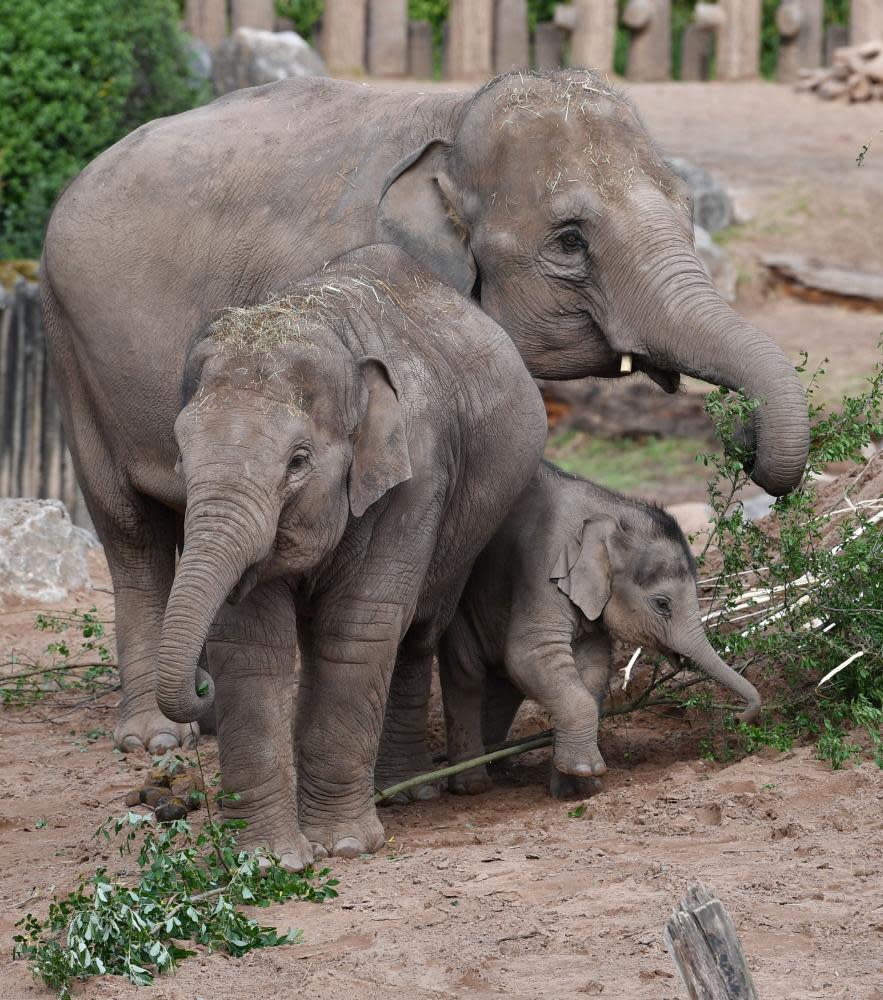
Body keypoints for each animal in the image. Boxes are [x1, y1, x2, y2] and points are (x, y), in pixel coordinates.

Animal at [43, 66, 808, 752]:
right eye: (569, 239)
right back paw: (155, 737)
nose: (742, 433)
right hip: (74, 354)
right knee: (129, 531)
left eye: (687, 212)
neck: (452, 115)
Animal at [156, 246, 548, 864]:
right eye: (180, 455)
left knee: (414, 633)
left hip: (468, 526)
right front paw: (268, 859)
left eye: (298, 460)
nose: (199, 687)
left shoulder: (417, 475)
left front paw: (341, 846)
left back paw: (406, 791)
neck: (314, 320)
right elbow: (249, 644)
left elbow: (360, 627)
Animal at [438, 460, 764, 796]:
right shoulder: (544, 566)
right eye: (662, 604)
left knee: (504, 683)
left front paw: (578, 788)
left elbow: (592, 664)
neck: (608, 512)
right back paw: (473, 785)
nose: (739, 716)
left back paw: (498, 765)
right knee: (467, 672)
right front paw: (587, 771)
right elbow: (530, 653)